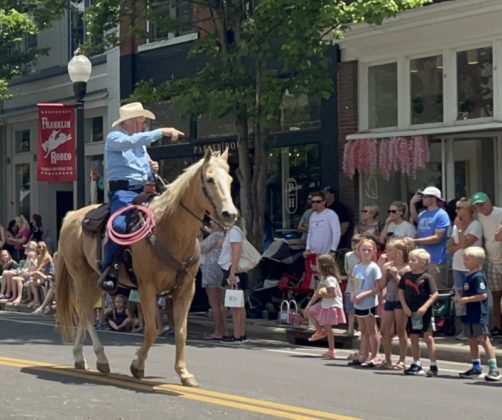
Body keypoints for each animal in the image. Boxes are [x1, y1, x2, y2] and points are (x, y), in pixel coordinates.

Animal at [56, 148, 237, 388]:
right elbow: (152, 329)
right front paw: (138, 366)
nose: (229, 214)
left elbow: (181, 331)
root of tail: (71, 217)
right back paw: (100, 359)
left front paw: (184, 373)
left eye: (230, 180)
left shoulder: (185, 290)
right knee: (85, 312)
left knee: (85, 313)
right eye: (209, 179)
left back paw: (80, 358)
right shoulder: (147, 288)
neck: (169, 230)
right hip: (82, 277)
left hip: (95, 280)